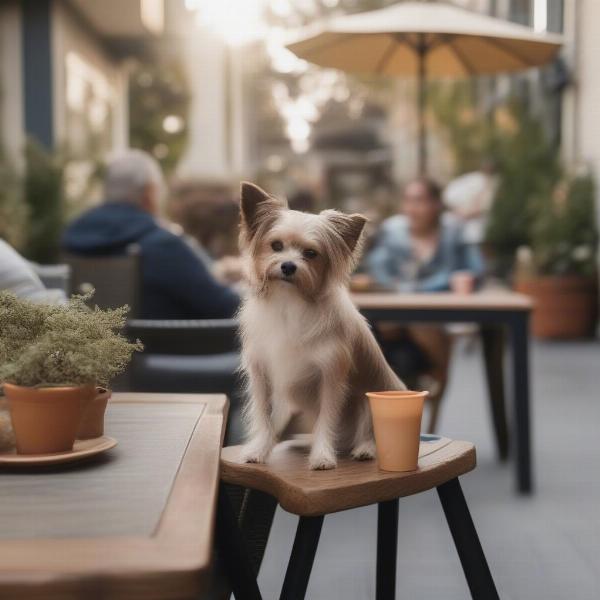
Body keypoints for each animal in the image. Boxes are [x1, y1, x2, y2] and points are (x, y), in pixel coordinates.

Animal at [237, 183, 406, 468]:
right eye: (276, 245)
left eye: (311, 254)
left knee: (368, 430)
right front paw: (259, 450)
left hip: (367, 399)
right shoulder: (261, 374)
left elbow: (327, 418)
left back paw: (364, 449)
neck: (290, 302)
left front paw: (323, 456)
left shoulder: (331, 376)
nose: (288, 266)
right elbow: (264, 416)